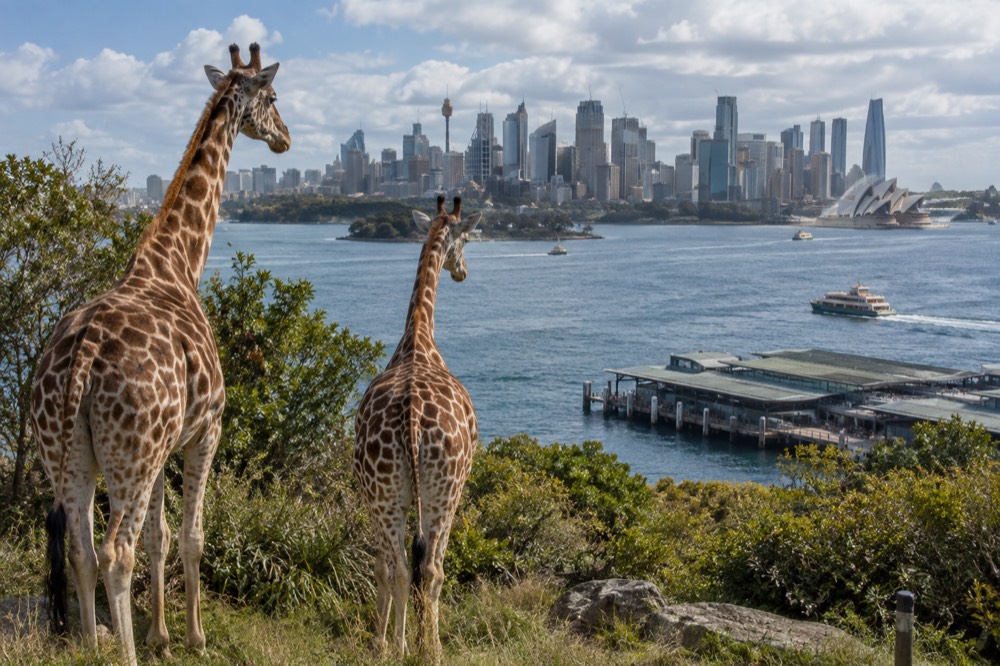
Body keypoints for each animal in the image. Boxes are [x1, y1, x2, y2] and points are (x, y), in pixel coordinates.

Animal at [30, 43, 289, 665]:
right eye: (272, 97)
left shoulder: (166, 447)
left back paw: (92, 644)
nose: (286, 139)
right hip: (132, 456)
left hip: (70, 456)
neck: (176, 263)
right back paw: (121, 654)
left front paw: (161, 636)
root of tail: (82, 358)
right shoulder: (206, 430)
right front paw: (192, 637)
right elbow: (192, 537)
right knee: (113, 551)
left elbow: (160, 537)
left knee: (82, 548)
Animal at [353, 195, 481, 662]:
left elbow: (383, 566)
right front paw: (419, 641)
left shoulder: (375, 496)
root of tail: (410, 421)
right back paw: (429, 648)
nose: (462, 272)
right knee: (429, 567)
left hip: (387, 493)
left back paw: (392, 646)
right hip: (445, 490)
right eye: (468, 238)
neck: (418, 339)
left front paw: (383, 641)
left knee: (400, 567)